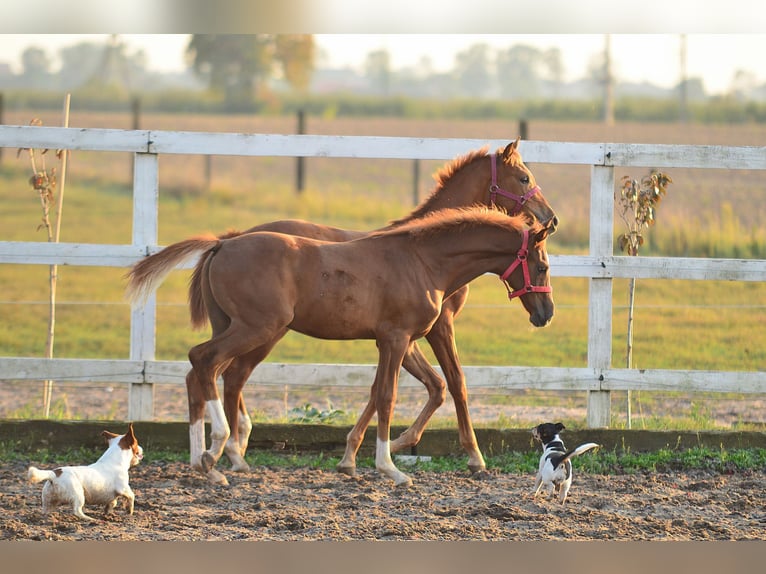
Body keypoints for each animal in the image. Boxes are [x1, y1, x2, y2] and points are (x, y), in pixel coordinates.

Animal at [129, 209, 556, 488]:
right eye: (543, 267)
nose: (546, 314)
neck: (422, 262)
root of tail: (222, 243)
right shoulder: (397, 338)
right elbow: (388, 396)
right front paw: (390, 468)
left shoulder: (392, 341)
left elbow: (385, 392)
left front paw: (356, 461)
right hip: (257, 328)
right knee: (205, 361)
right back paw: (217, 449)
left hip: (234, 326)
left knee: (206, 372)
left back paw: (208, 462)